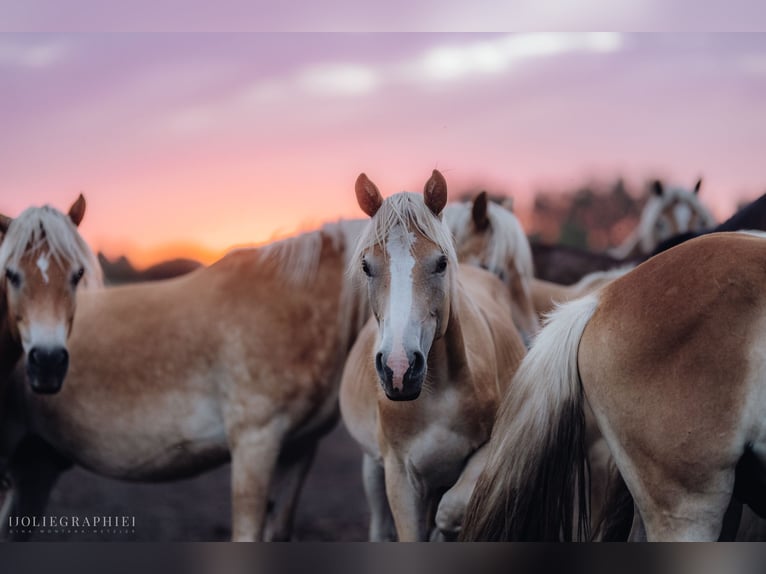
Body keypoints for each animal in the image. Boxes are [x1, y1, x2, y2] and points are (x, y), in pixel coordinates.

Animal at [342, 169, 528, 544]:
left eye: (441, 262)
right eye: (367, 266)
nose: (399, 368)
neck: (437, 393)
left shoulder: (487, 452)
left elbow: (451, 511)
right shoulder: (399, 476)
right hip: (373, 468)